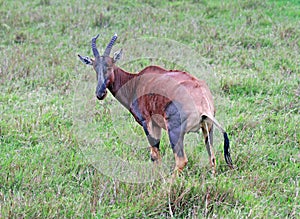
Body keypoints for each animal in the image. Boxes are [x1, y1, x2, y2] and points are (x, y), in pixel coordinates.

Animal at [78, 33, 233, 175]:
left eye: (110, 66)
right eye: (95, 67)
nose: (100, 93)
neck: (136, 81)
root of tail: (202, 100)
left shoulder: (146, 121)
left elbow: (154, 154)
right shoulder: (157, 125)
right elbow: (156, 154)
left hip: (174, 130)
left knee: (181, 160)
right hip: (207, 128)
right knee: (212, 158)